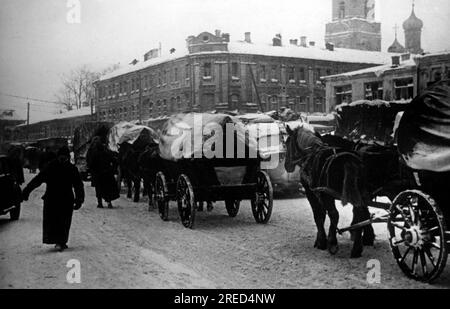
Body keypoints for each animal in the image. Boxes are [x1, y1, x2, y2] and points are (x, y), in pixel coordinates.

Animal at [284, 125, 376, 258]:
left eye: (287, 143)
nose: (286, 165)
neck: (310, 153)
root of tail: (348, 159)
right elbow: (321, 215)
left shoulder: (312, 193)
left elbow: (318, 215)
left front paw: (322, 241)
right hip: (359, 193)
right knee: (360, 214)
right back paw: (357, 248)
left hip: (328, 194)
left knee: (334, 214)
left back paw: (332, 242)